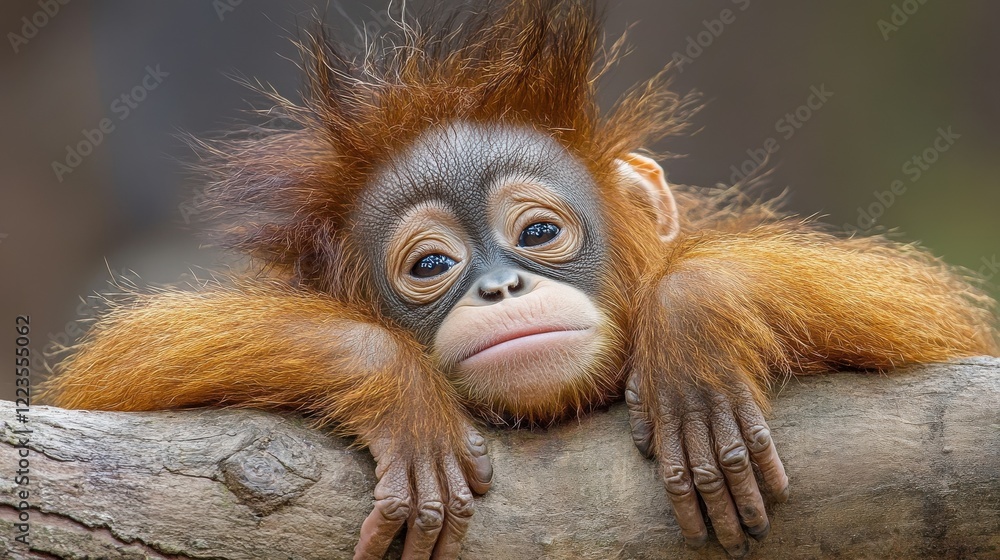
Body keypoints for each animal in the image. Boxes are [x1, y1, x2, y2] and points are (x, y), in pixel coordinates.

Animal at [39, 1, 998, 558]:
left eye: (537, 233)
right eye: (433, 266)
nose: (500, 288)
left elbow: (943, 336)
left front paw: (694, 324)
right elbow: (112, 387)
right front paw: (394, 387)